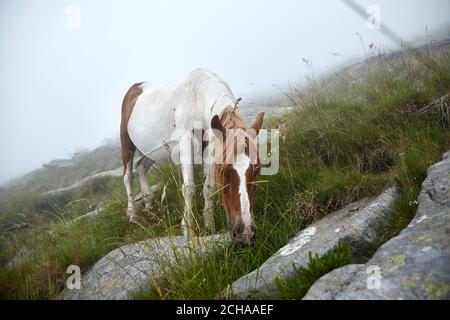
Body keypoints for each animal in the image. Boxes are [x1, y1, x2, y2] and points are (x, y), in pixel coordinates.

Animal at [121, 67, 266, 242]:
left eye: (257, 169)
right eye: (223, 171)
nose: (245, 232)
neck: (198, 101)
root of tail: (134, 88)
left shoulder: (209, 148)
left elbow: (209, 187)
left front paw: (209, 224)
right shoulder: (185, 144)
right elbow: (189, 187)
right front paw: (187, 228)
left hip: (154, 150)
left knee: (141, 166)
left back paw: (148, 202)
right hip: (127, 144)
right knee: (128, 175)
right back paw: (132, 213)